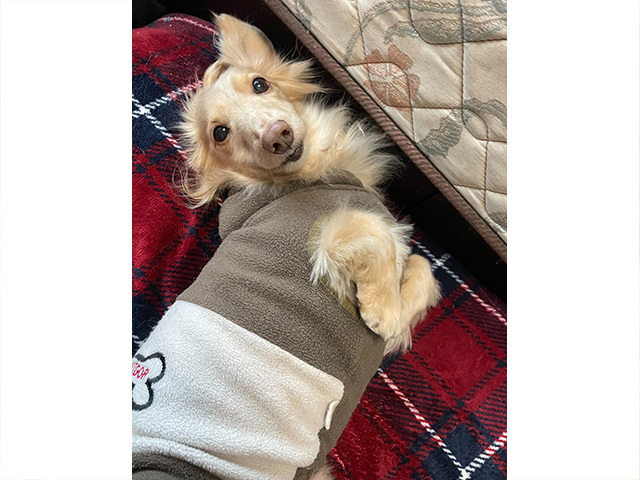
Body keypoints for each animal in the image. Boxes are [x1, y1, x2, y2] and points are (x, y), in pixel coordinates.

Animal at [132, 14, 441, 480]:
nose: (278, 135)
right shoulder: (327, 237)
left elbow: (422, 265)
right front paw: (382, 309)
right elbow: (378, 235)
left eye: (260, 84)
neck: (310, 172)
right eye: (220, 133)